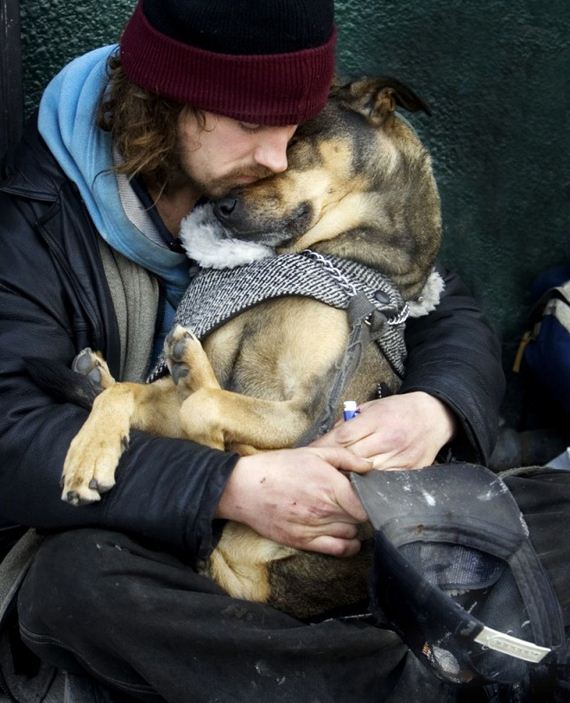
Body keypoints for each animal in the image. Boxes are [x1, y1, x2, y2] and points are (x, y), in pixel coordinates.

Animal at [58, 75, 440, 616]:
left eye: (293, 141)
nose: (219, 206)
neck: (322, 255)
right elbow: (133, 396)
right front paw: (89, 454)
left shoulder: (312, 411)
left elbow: (202, 409)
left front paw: (204, 413)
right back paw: (107, 374)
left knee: (239, 576)